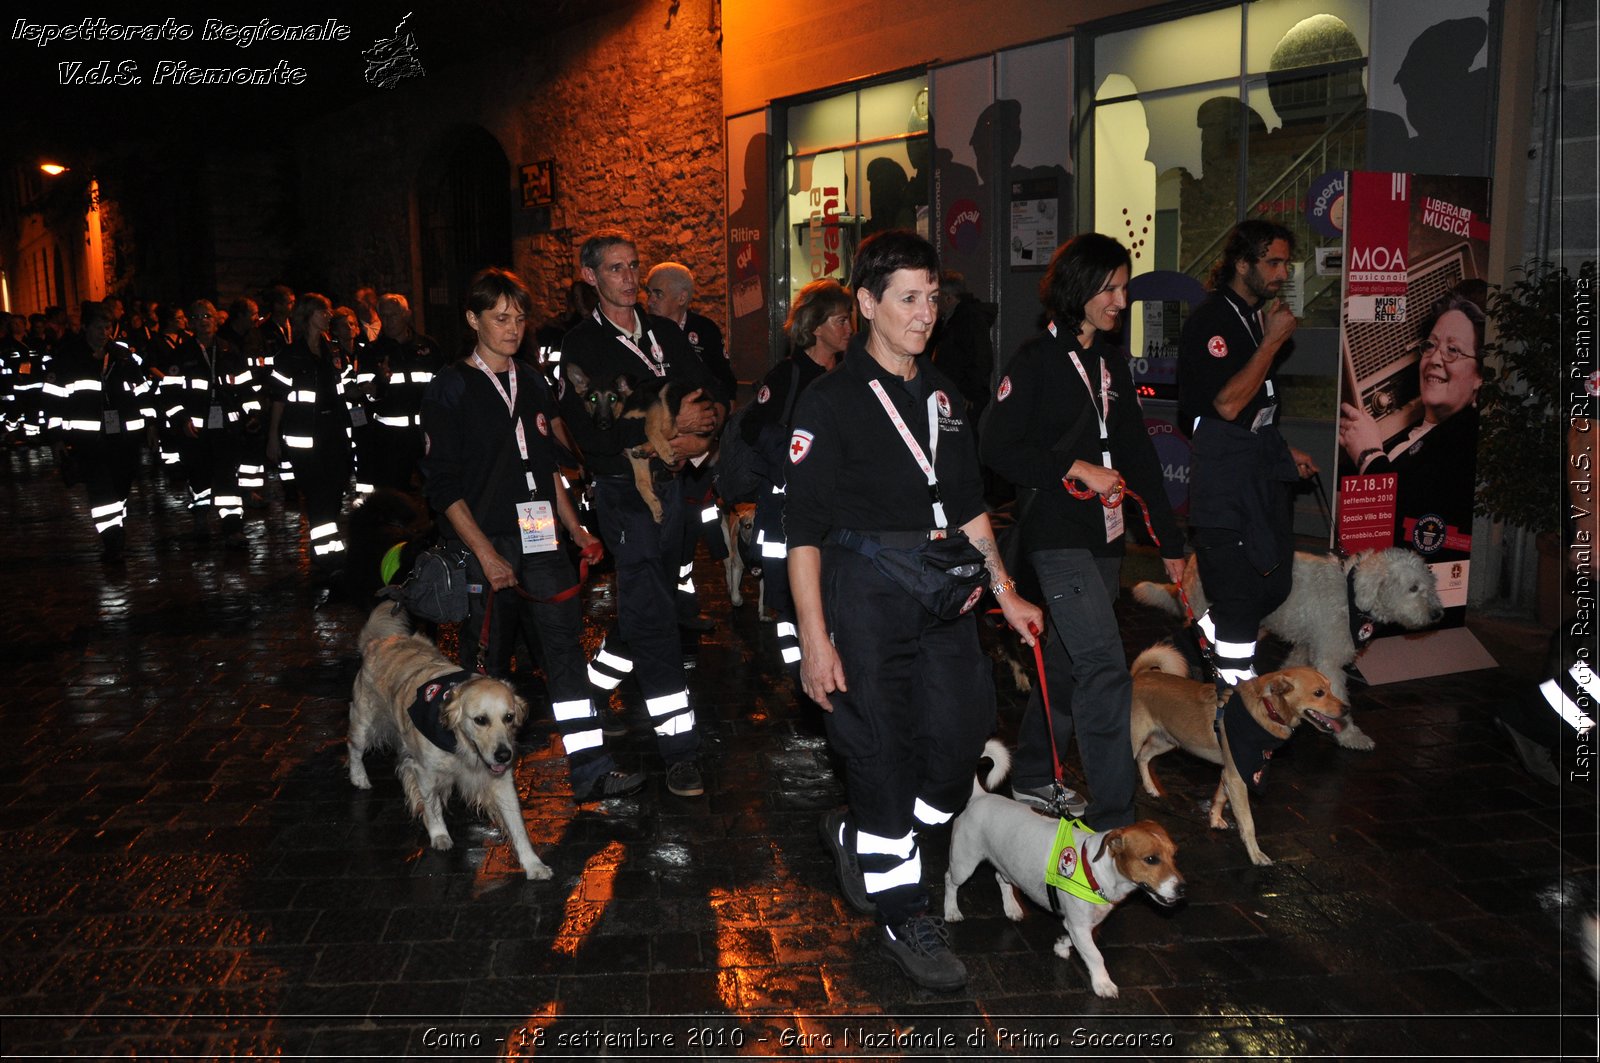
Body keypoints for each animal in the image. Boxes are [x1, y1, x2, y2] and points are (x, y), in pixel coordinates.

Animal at [347, 601, 553, 883]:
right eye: (480, 720)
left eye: (509, 717)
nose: (504, 755)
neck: (460, 744)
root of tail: (379, 641)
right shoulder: (424, 771)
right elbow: (431, 806)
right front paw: (439, 835)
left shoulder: (500, 780)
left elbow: (517, 825)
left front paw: (533, 864)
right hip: (365, 723)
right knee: (354, 748)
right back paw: (359, 778)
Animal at [1132, 550, 1446, 752]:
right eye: (1413, 588)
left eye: (1430, 584)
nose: (1438, 614)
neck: (1351, 596)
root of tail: (1191, 560)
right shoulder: (1329, 657)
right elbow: (1340, 700)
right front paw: (1350, 735)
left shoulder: (1307, 646)